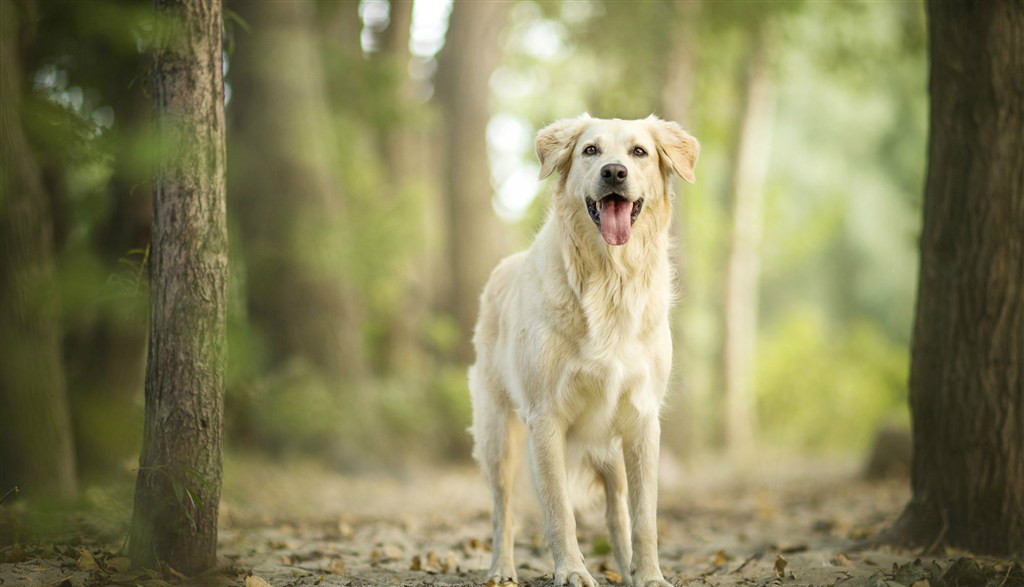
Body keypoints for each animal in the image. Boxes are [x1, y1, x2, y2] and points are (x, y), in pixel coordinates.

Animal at [468, 112, 700, 581]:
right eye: (590, 150)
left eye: (639, 152)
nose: (614, 172)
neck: (610, 279)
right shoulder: (545, 418)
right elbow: (559, 511)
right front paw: (573, 572)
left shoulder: (642, 421)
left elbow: (644, 516)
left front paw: (650, 576)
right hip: (498, 435)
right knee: (503, 511)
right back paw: (501, 569)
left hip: (611, 453)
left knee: (617, 513)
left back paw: (628, 569)